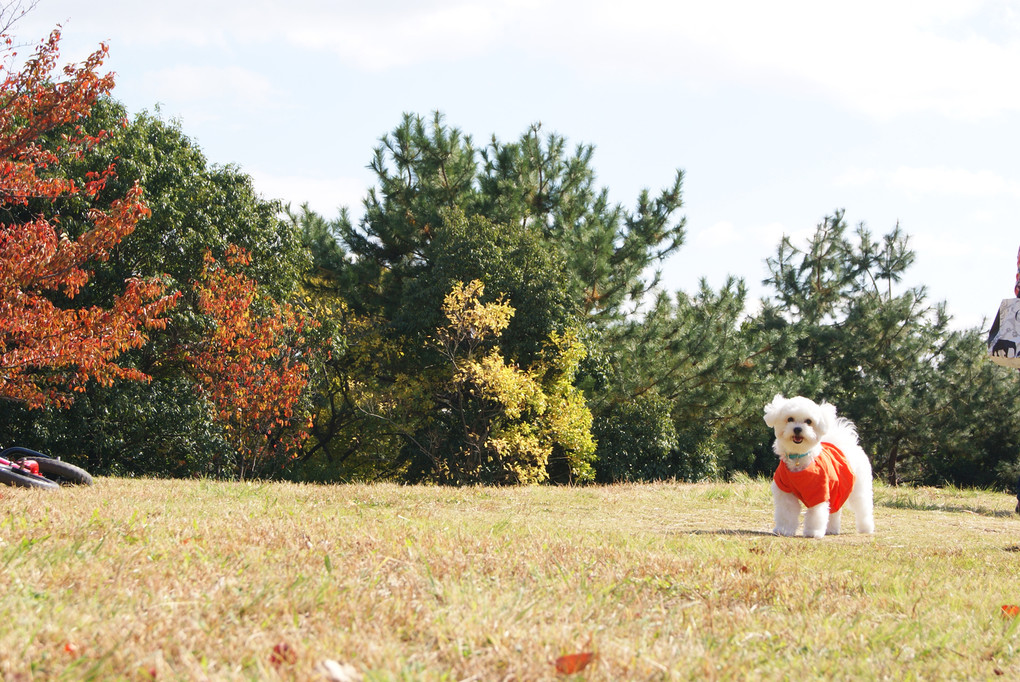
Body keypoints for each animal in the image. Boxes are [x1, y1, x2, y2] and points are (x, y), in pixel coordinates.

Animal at [767, 393, 877, 538]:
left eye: (808, 421)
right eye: (790, 419)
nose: (797, 429)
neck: (799, 457)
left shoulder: (819, 491)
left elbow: (816, 514)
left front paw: (813, 532)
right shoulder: (785, 492)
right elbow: (786, 512)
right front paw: (784, 530)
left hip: (859, 488)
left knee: (862, 507)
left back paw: (866, 528)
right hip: (837, 488)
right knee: (834, 509)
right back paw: (832, 529)